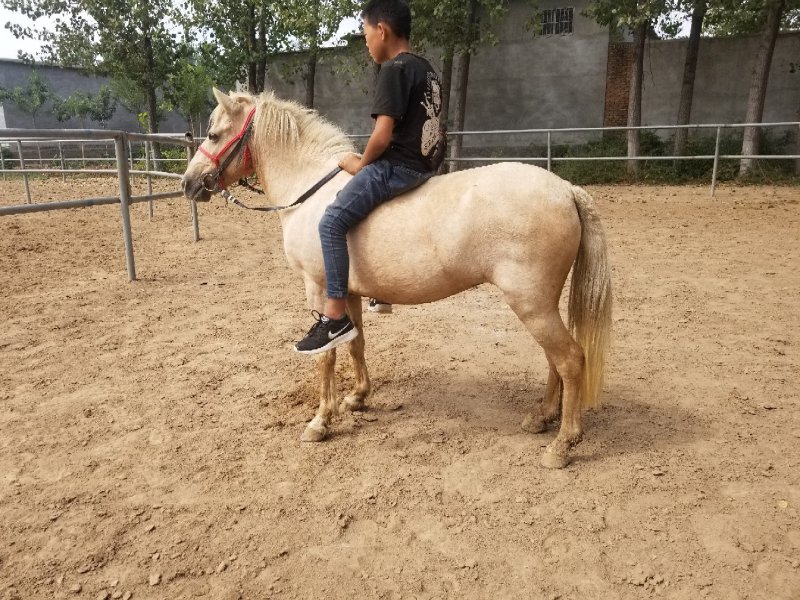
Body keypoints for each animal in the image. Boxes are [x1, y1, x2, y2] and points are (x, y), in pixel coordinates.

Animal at [181, 88, 612, 469]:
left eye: (213, 134)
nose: (188, 183)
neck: (311, 190)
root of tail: (565, 190)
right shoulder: (348, 292)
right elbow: (354, 343)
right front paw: (357, 398)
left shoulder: (319, 289)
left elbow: (326, 356)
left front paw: (321, 421)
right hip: (540, 304)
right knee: (554, 359)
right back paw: (542, 417)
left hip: (531, 303)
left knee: (570, 360)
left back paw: (562, 444)